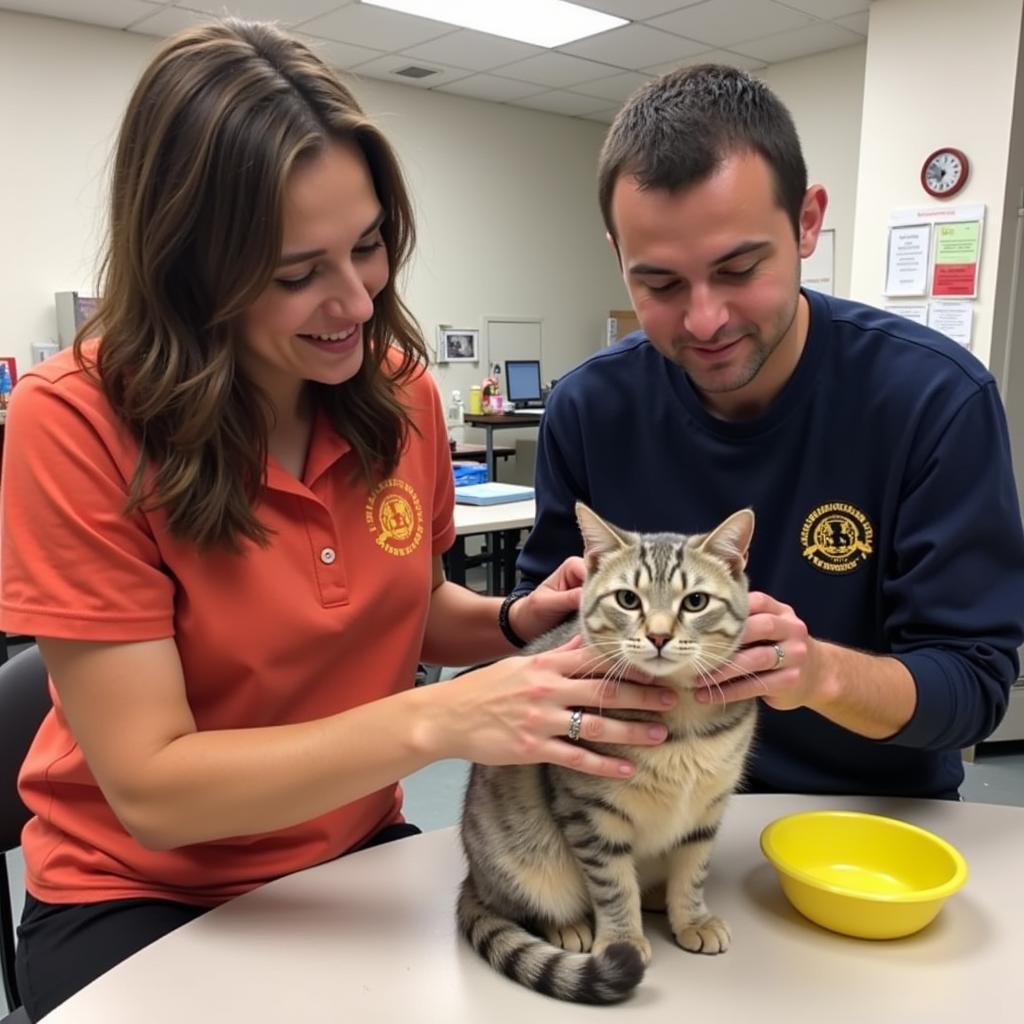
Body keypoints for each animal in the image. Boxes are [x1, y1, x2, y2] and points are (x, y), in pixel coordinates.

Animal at [460, 503, 757, 999]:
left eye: (695, 602)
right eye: (628, 600)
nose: (659, 636)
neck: (680, 718)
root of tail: (474, 879)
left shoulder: (707, 809)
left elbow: (692, 871)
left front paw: (691, 917)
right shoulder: (590, 813)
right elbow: (614, 885)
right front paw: (623, 938)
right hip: (523, 861)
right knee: (524, 906)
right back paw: (568, 925)